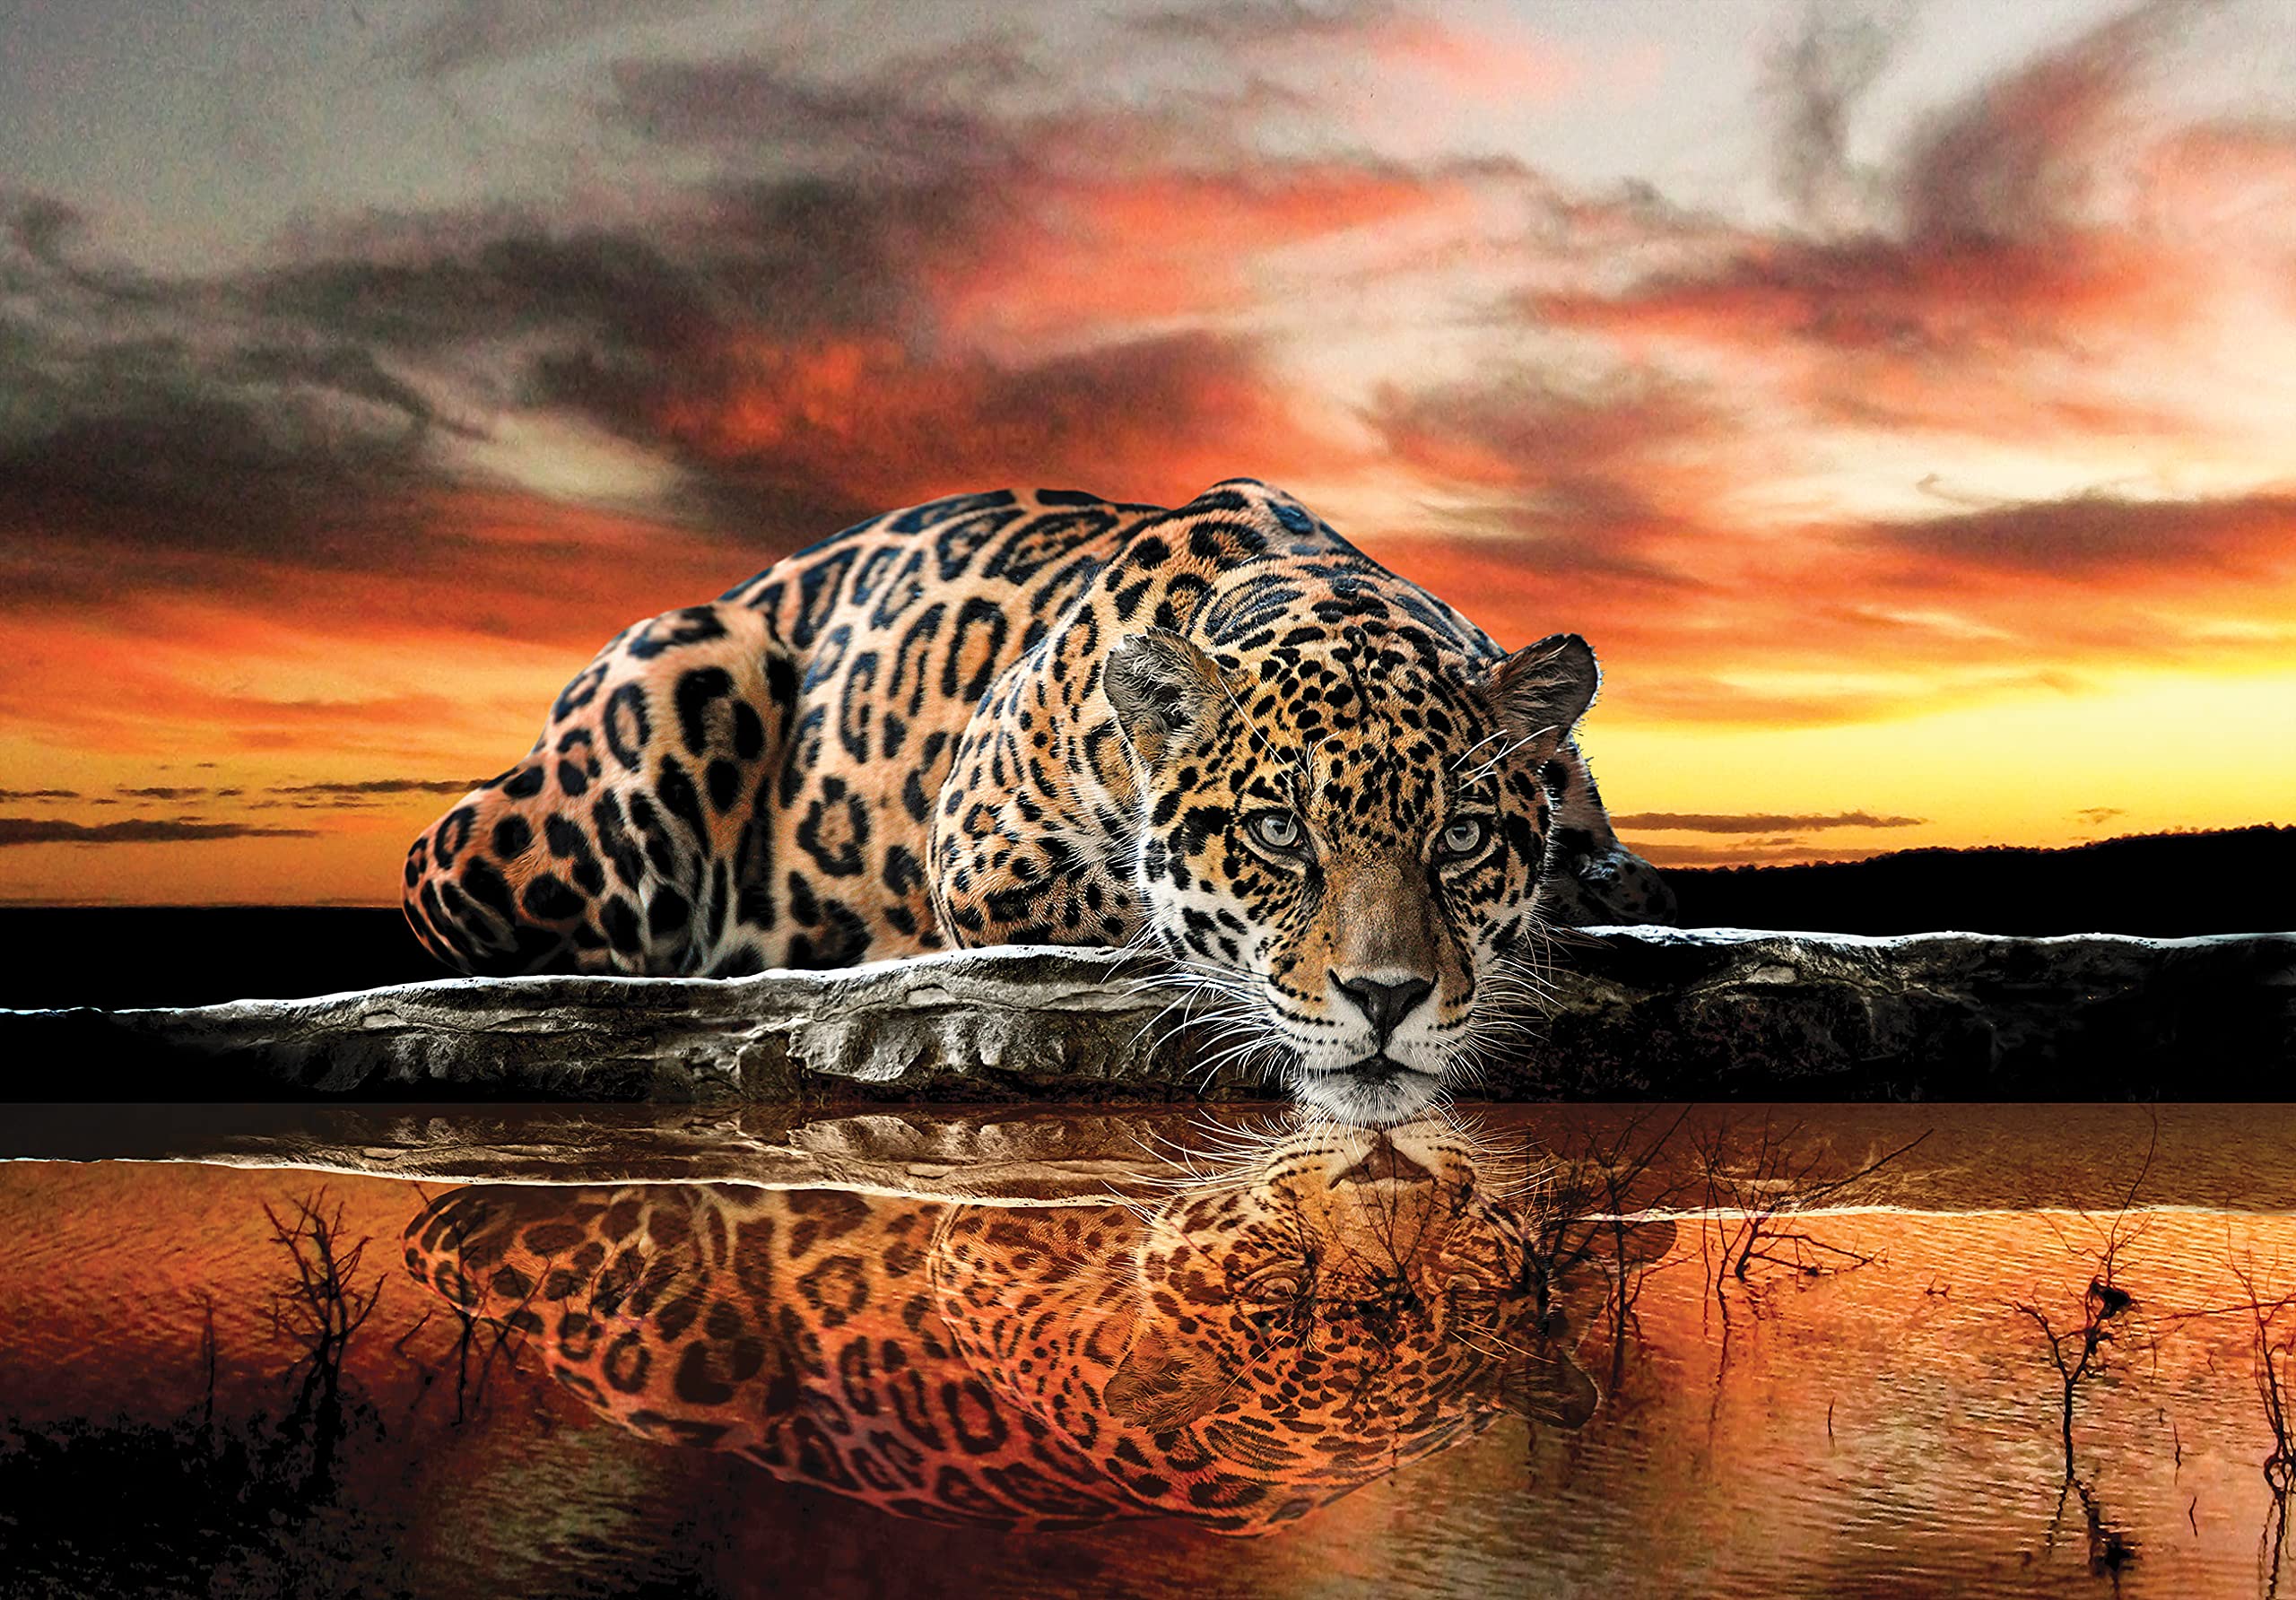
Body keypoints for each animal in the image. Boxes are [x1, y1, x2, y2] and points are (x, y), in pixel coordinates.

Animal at [403, 478, 1675, 1124]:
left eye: (1458, 836)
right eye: (1277, 831)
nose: (1387, 998)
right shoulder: (981, 849)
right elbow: (1147, 912)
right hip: (665, 692)